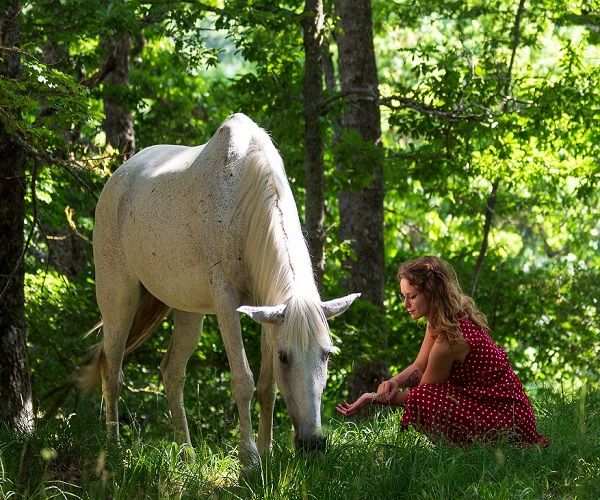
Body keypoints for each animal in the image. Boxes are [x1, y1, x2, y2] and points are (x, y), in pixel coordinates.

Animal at [81, 112, 358, 464]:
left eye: (326, 354)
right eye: (285, 356)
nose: (313, 443)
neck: (242, 200)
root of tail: (117, 179)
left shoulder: (266, 309)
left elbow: (266, 387)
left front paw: (266, 453)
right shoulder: (227, 303)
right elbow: (244, 380)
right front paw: (249, 459)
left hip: (187, 310)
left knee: (171, 373)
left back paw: (187, 454)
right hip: (119, 298)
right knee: (112, 370)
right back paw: (114, 451)